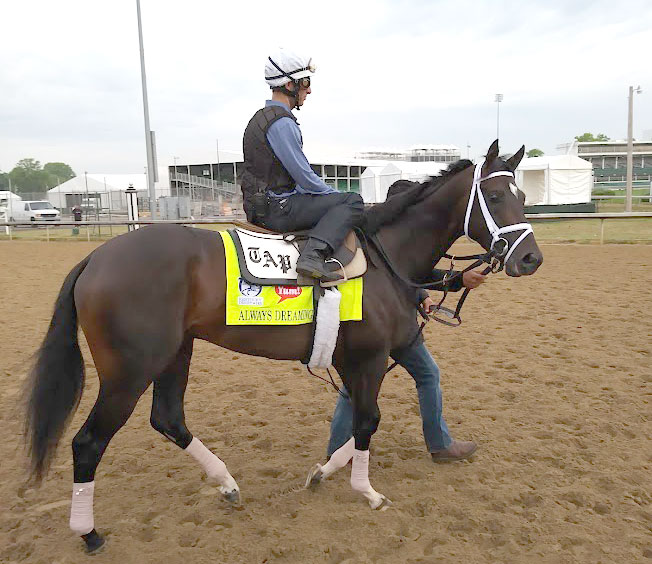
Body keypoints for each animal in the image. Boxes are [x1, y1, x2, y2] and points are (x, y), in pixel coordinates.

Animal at [22, 141, 544, 552]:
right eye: (495, 195)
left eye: (523, 195)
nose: (530, 258)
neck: (385, 258)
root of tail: (95, 258)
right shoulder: (370, 359)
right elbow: (368, 422)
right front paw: (366, 491)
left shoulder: (356, 360)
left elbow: (357, 421)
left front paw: (325, 473)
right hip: (129, 372)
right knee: (88, 442)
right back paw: (89, 533)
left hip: (174, 355)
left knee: (168, 419)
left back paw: (227, 484)